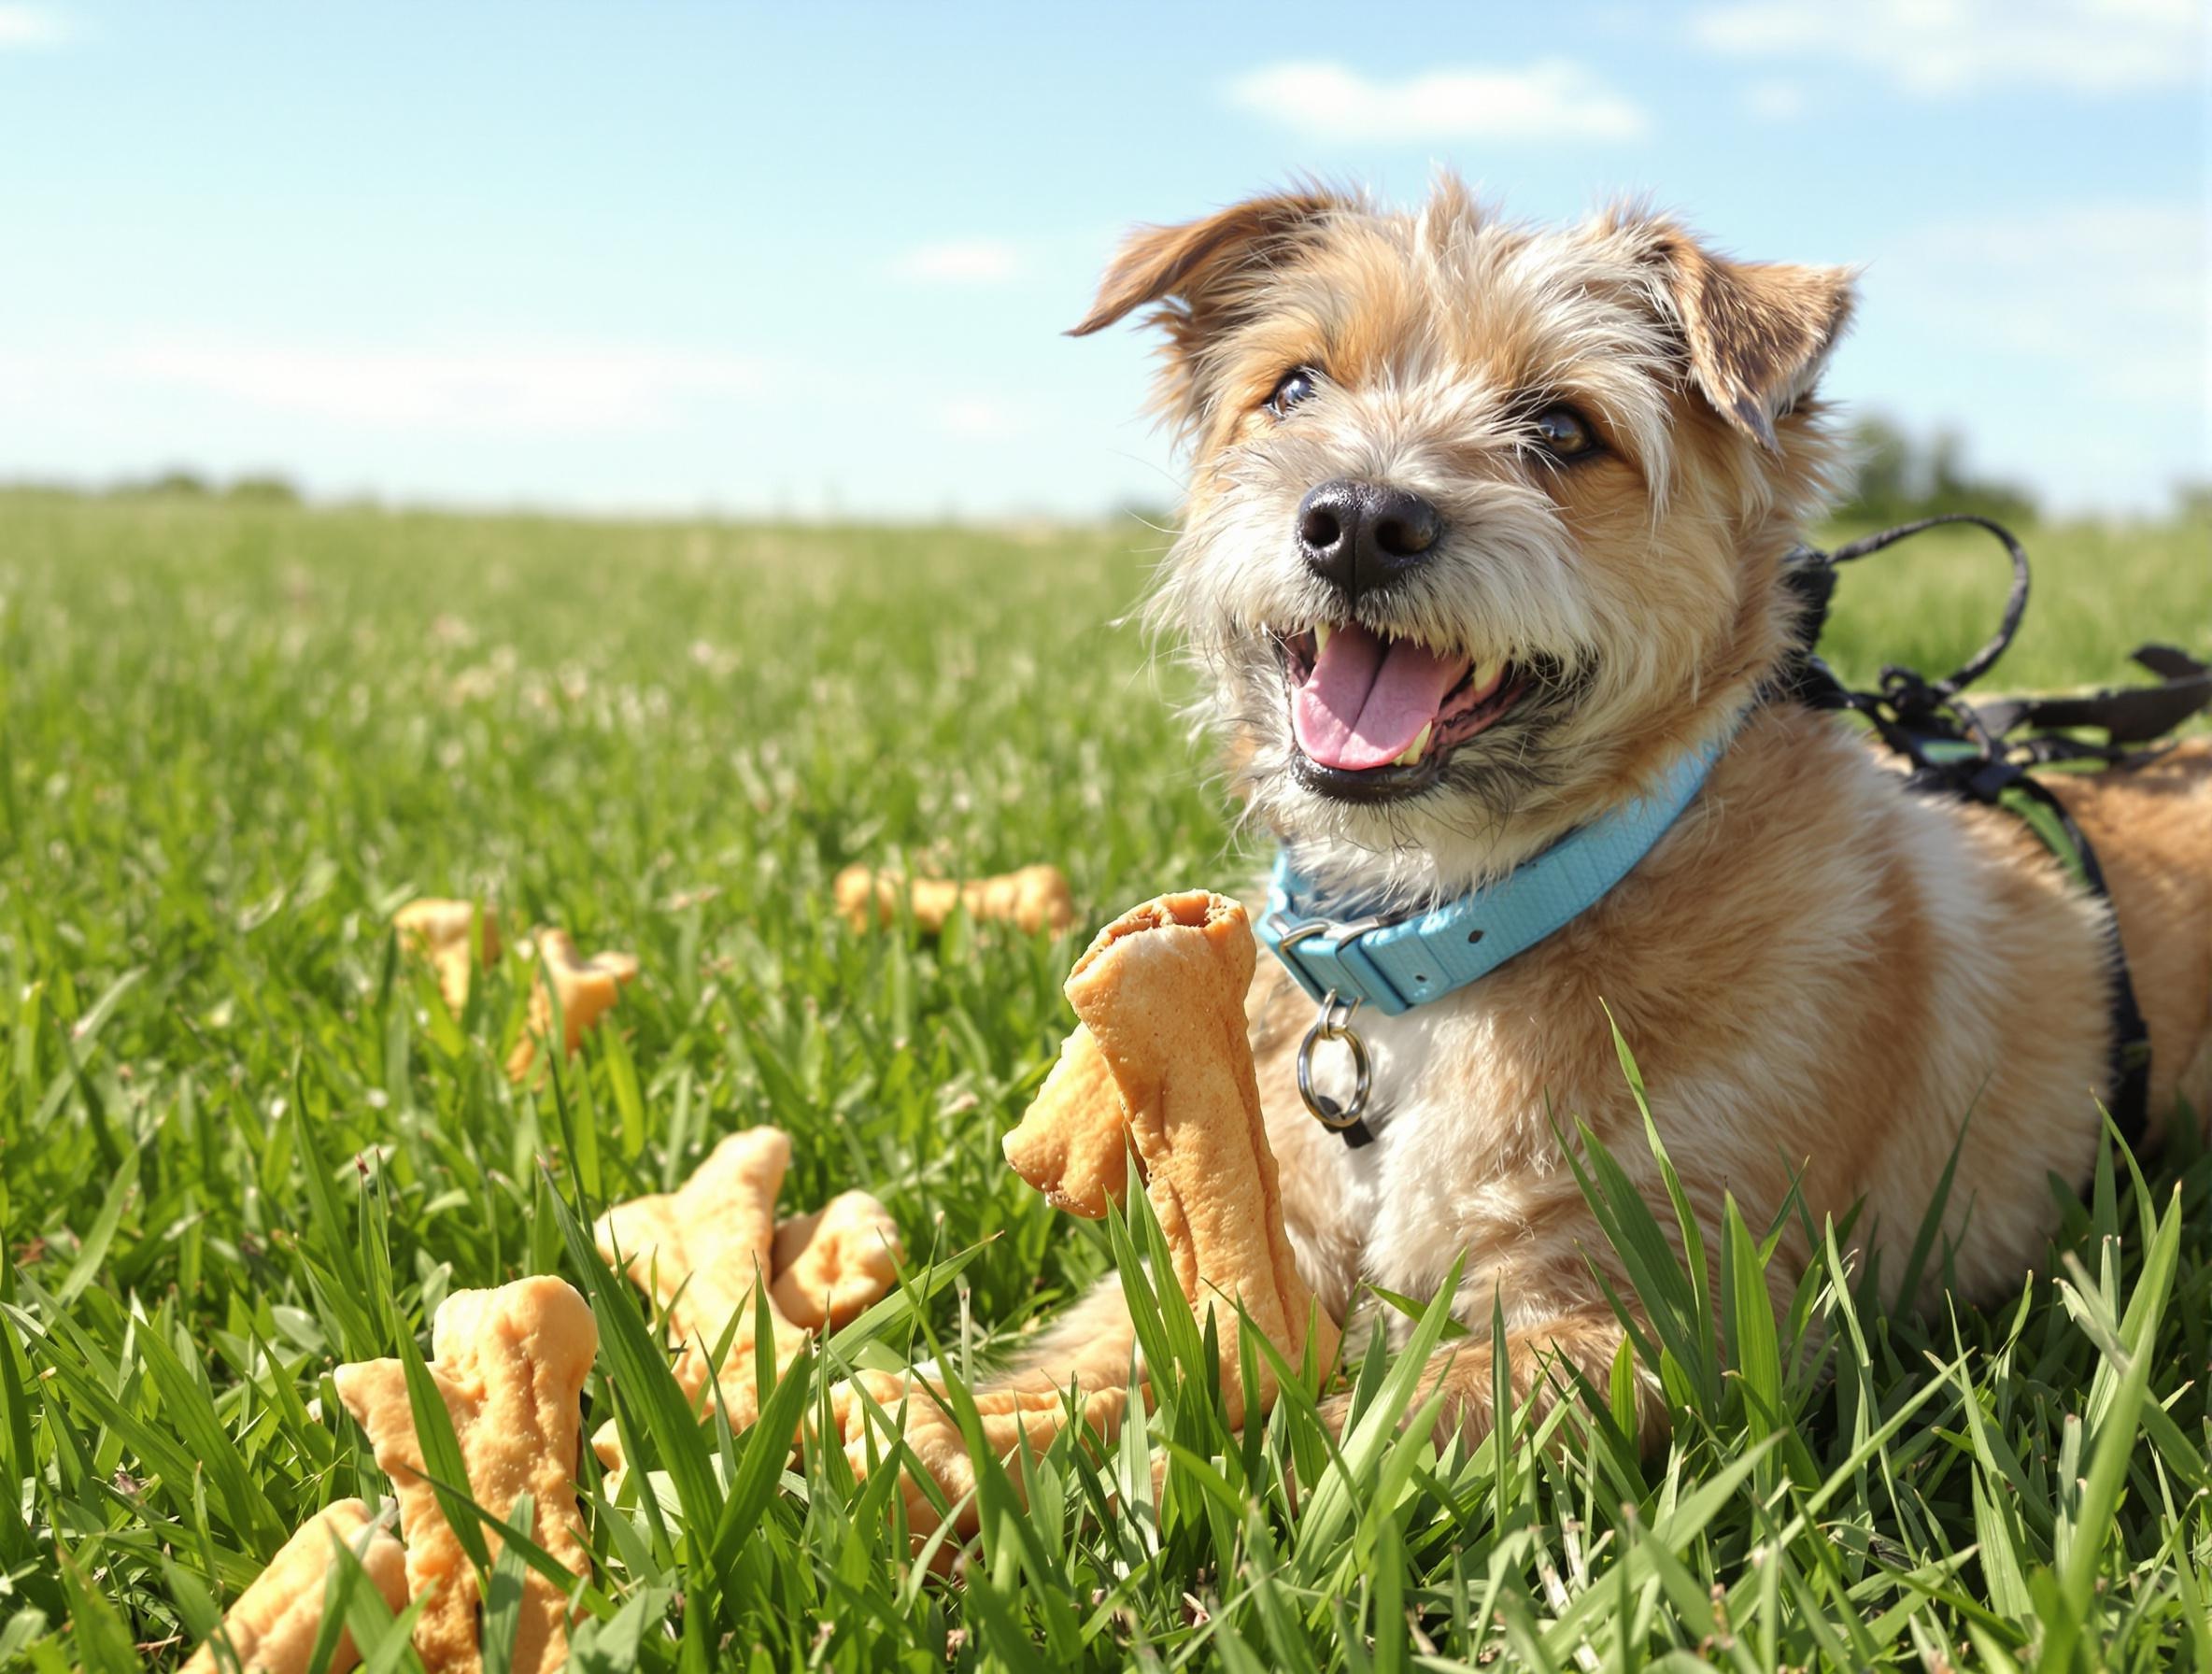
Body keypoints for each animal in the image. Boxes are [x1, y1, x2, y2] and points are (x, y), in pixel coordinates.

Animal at [990, 176, 2212, 1441]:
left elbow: (1335, 1440)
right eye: (1292, 389)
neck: (1457, 926)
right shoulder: (1269, 1230)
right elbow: (1111, 1361)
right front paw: (958, 1440)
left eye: (1565, 430)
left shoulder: (1652, 1322)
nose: (1360, 520)